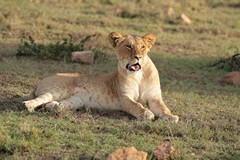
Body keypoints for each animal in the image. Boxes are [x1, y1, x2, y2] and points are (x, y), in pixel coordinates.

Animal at [23, 32, 178, 122]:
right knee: (39, 99)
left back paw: (54, 107)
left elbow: (164, 108)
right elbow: (136, 105)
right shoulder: (124, 97)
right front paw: (147, 114)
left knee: (53, 105)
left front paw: (171, 117)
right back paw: (29, 106)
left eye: (143, 47)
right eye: (128, 46)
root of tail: (40, 82)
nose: (138, 57)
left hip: (75, 101)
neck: (138, 75)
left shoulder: (154, 97)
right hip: (58, 90)